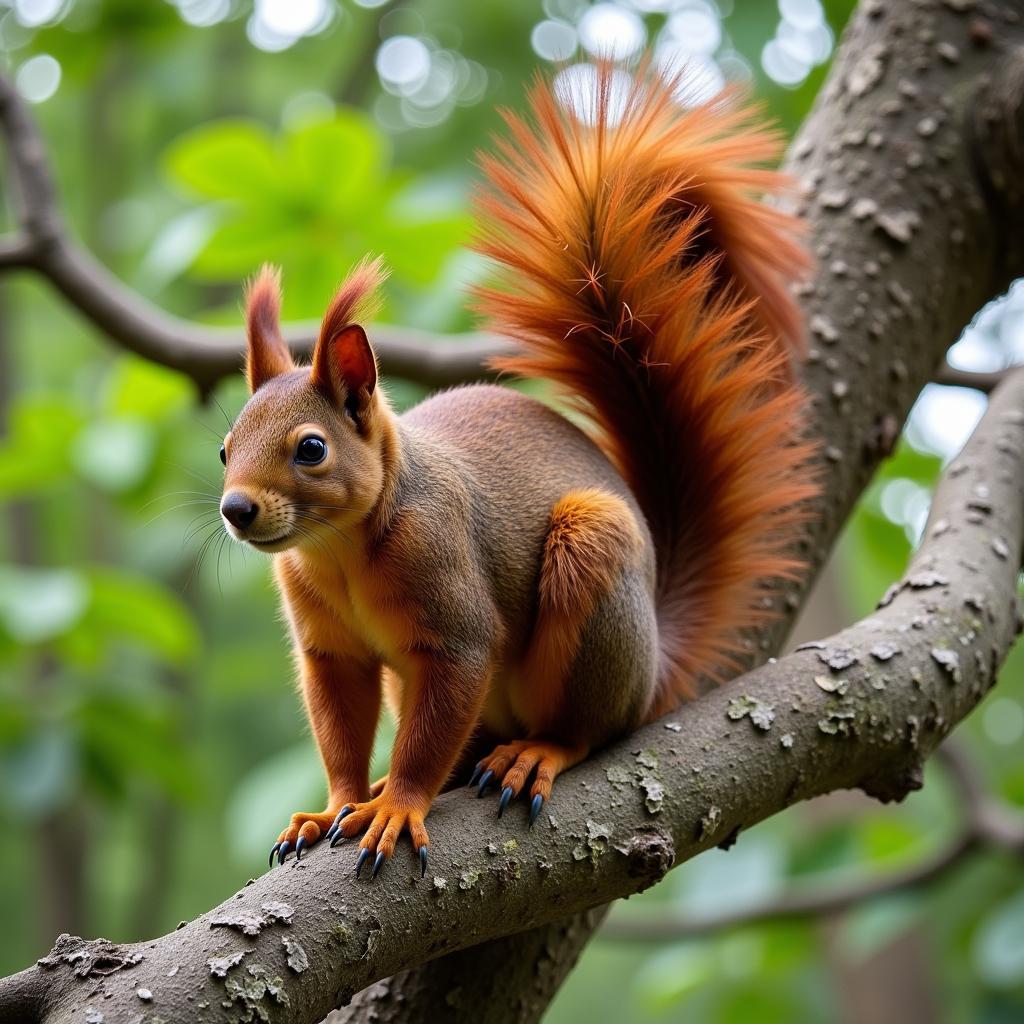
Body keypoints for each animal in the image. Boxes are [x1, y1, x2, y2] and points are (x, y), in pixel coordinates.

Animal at [216, 61, 815, 880]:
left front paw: (396, 807)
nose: (236, 508)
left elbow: (435, 724)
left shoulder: (455, 619)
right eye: (223, 449)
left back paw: (535, 753)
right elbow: (340, 726)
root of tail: (656, 665)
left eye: (311, 448)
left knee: (586, 729)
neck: (339, 548)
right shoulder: (330, 649)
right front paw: (336, 803)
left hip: (592, 570)